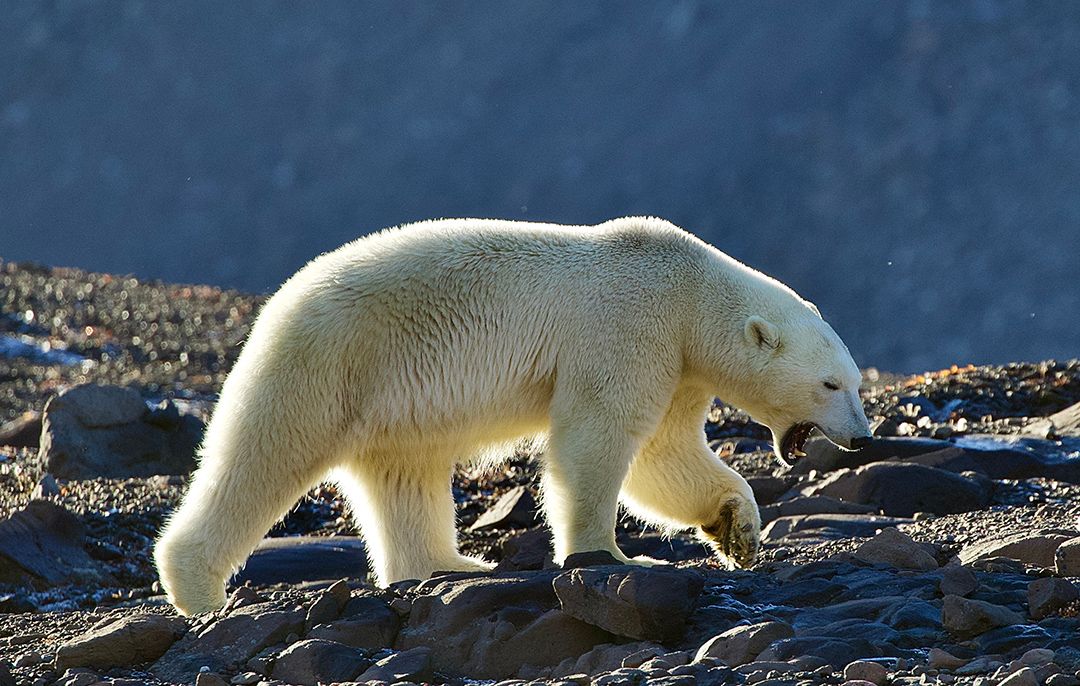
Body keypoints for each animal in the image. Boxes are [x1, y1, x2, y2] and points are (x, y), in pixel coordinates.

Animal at [154, 216, 872, 616]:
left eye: (858, 382)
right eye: (830, 383)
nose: (862, 438)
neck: (687, 289)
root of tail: (278, 302)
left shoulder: (677, 364)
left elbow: (663, 454)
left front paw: (738, 529)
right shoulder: (628, 326)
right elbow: (600, 437)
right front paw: (614, 555)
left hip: (393, 402)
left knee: (403, 476)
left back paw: (453, 566)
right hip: (330, 362)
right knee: (265, 452)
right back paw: (200, 589)